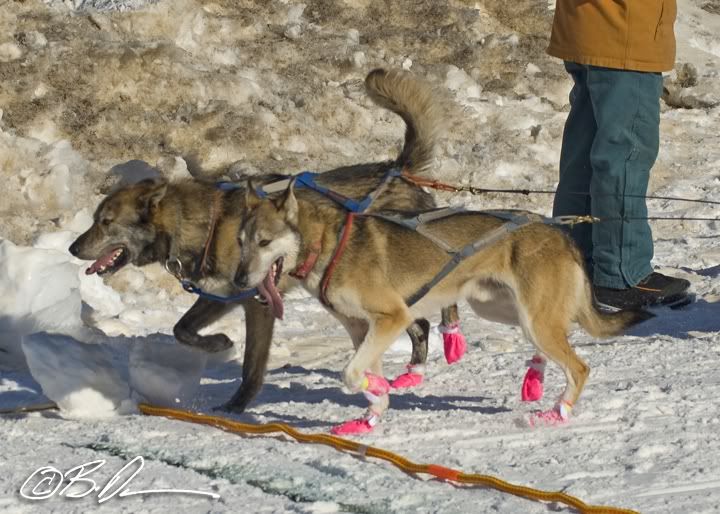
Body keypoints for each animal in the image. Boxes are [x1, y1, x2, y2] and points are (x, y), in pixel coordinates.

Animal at [69, 68, 462, 412]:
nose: (73, 247)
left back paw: (447, 339)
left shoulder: (257, 304)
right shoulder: (222, 295)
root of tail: (397, 172)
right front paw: (218, 342)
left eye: (105, 222)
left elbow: (251, 365)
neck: (208, 224)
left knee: (436, 308)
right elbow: (181, 328)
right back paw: (412, 371)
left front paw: (238, 403)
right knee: (419, 324)